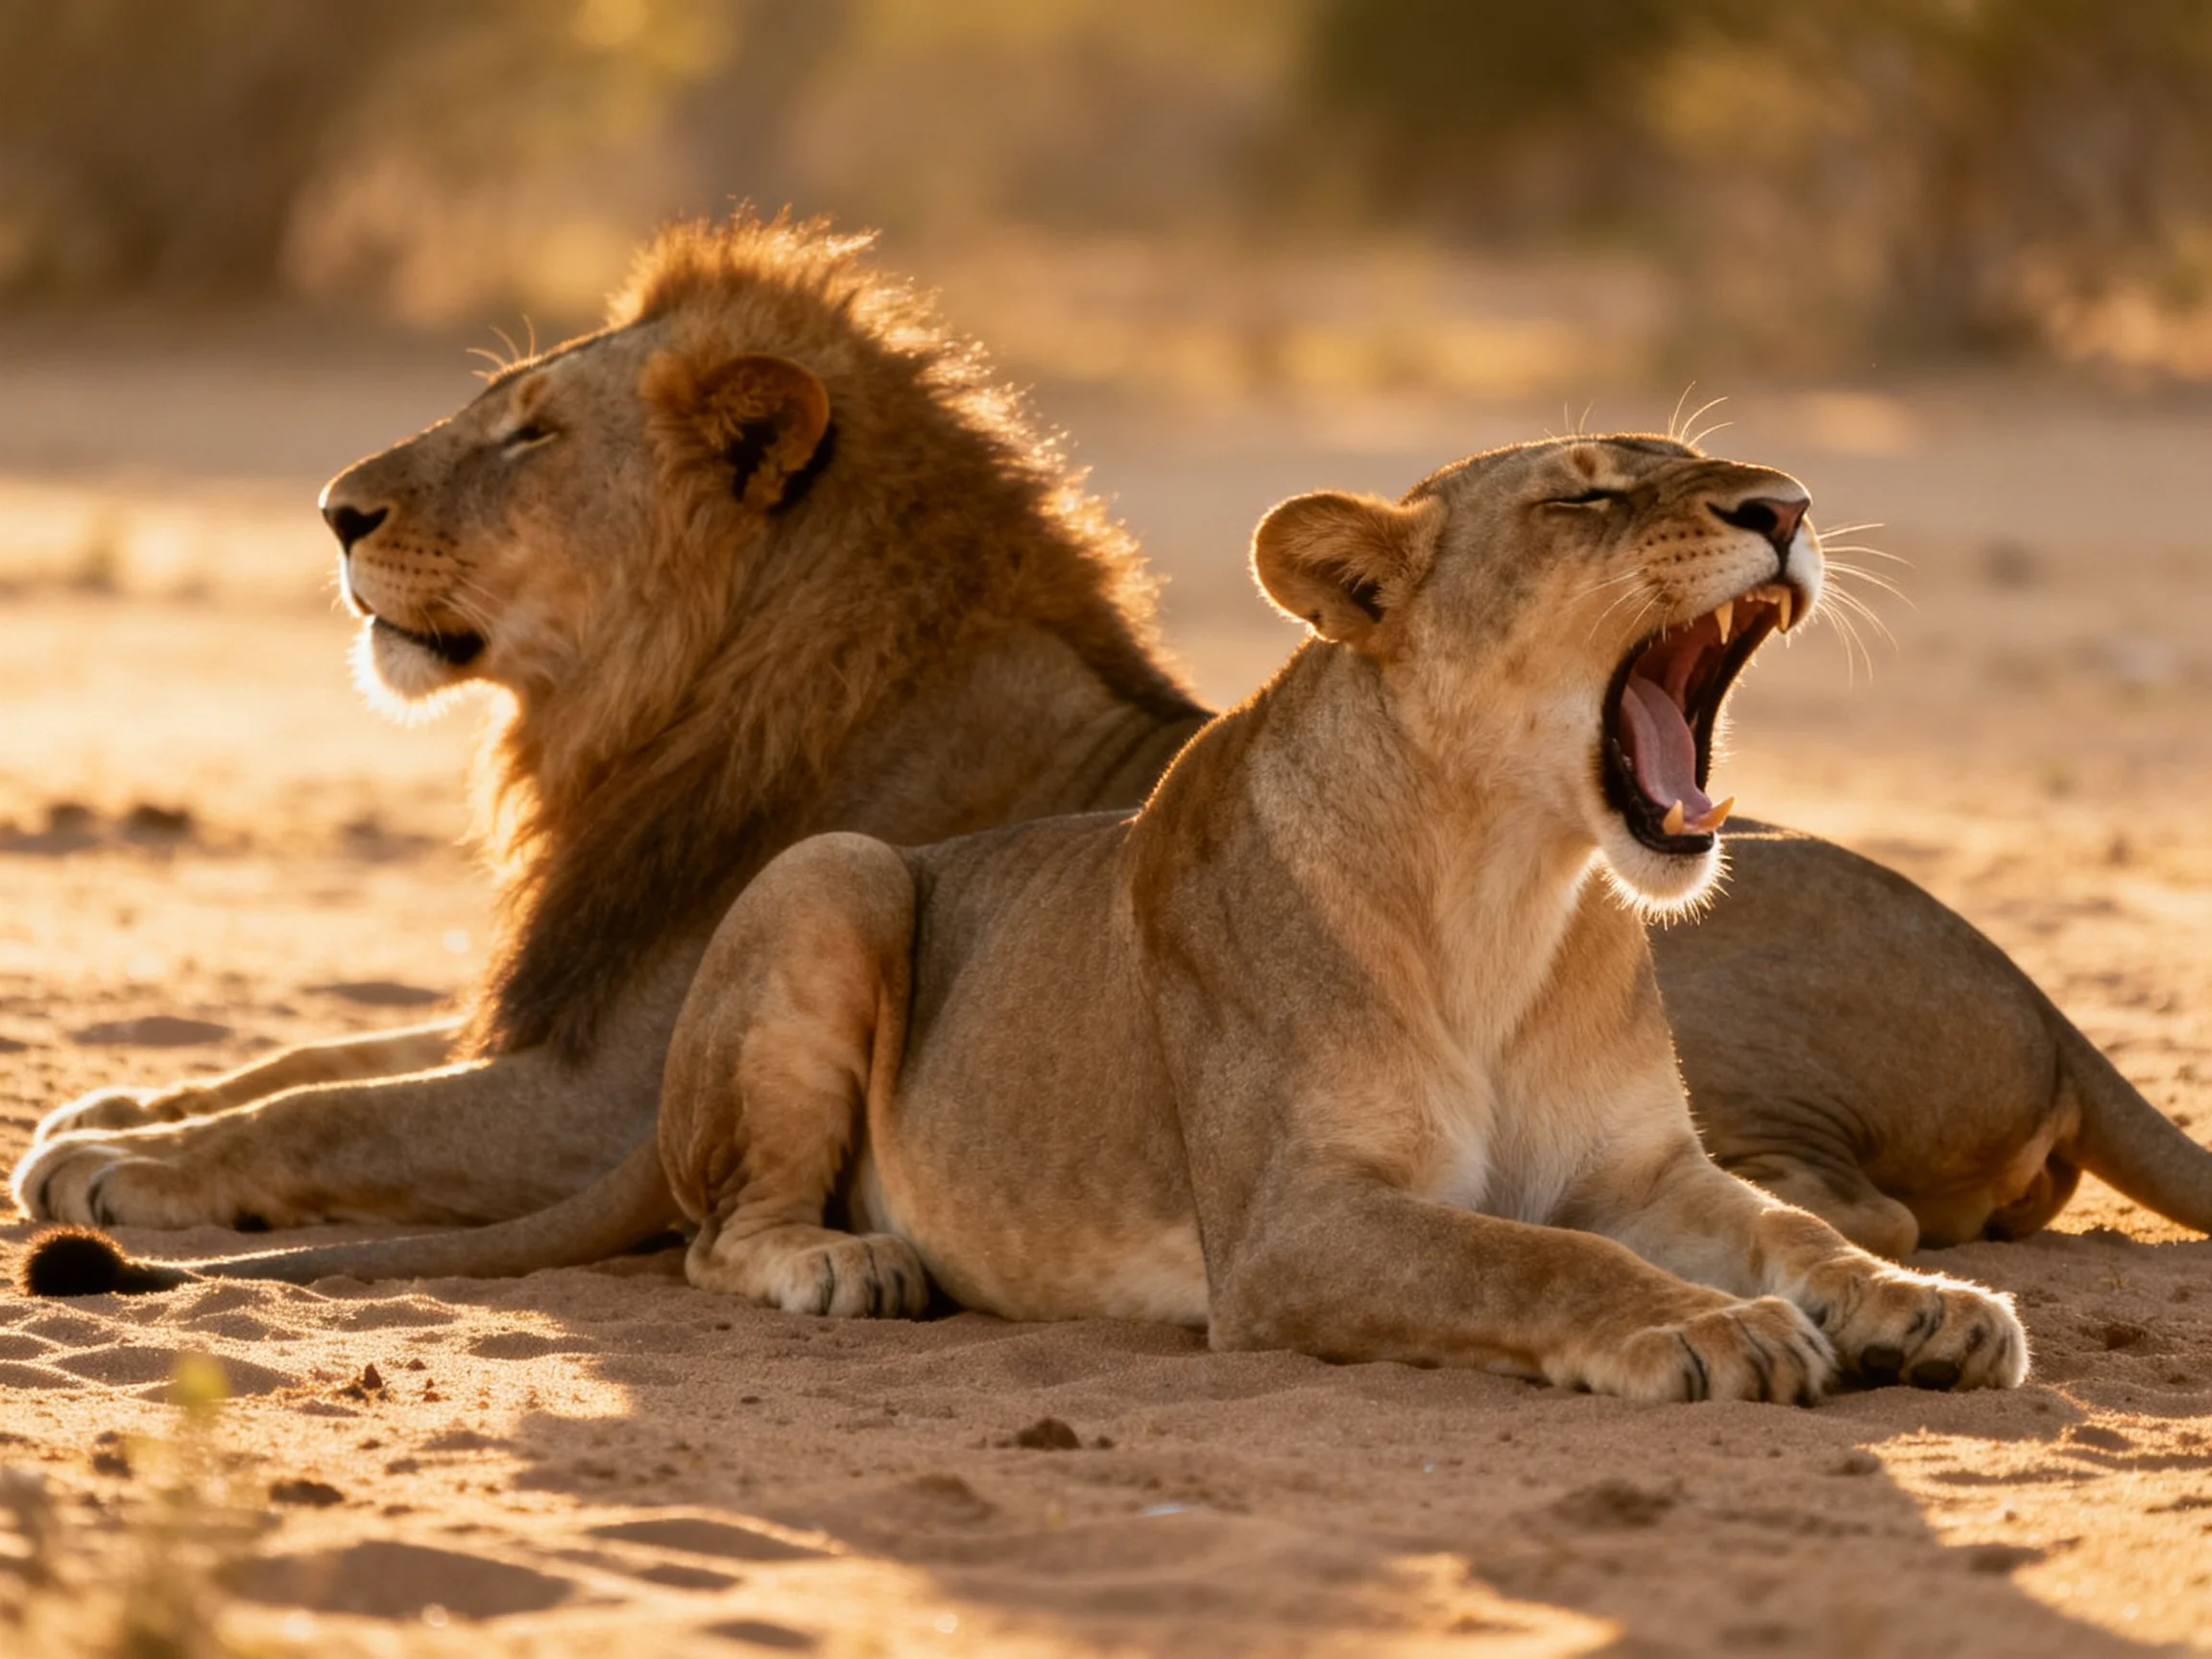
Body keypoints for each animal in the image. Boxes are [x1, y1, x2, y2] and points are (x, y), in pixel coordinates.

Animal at [13, 216, 2206, 1298]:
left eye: (532, 434)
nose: (331, 511)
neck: (671, 704)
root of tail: (2039, 995)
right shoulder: (552, 1018)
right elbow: (311, 1050)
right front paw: (105, 1099)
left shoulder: (589, 1090)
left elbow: (330, 1112)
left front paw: (120, 1162)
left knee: (1868, 1217)